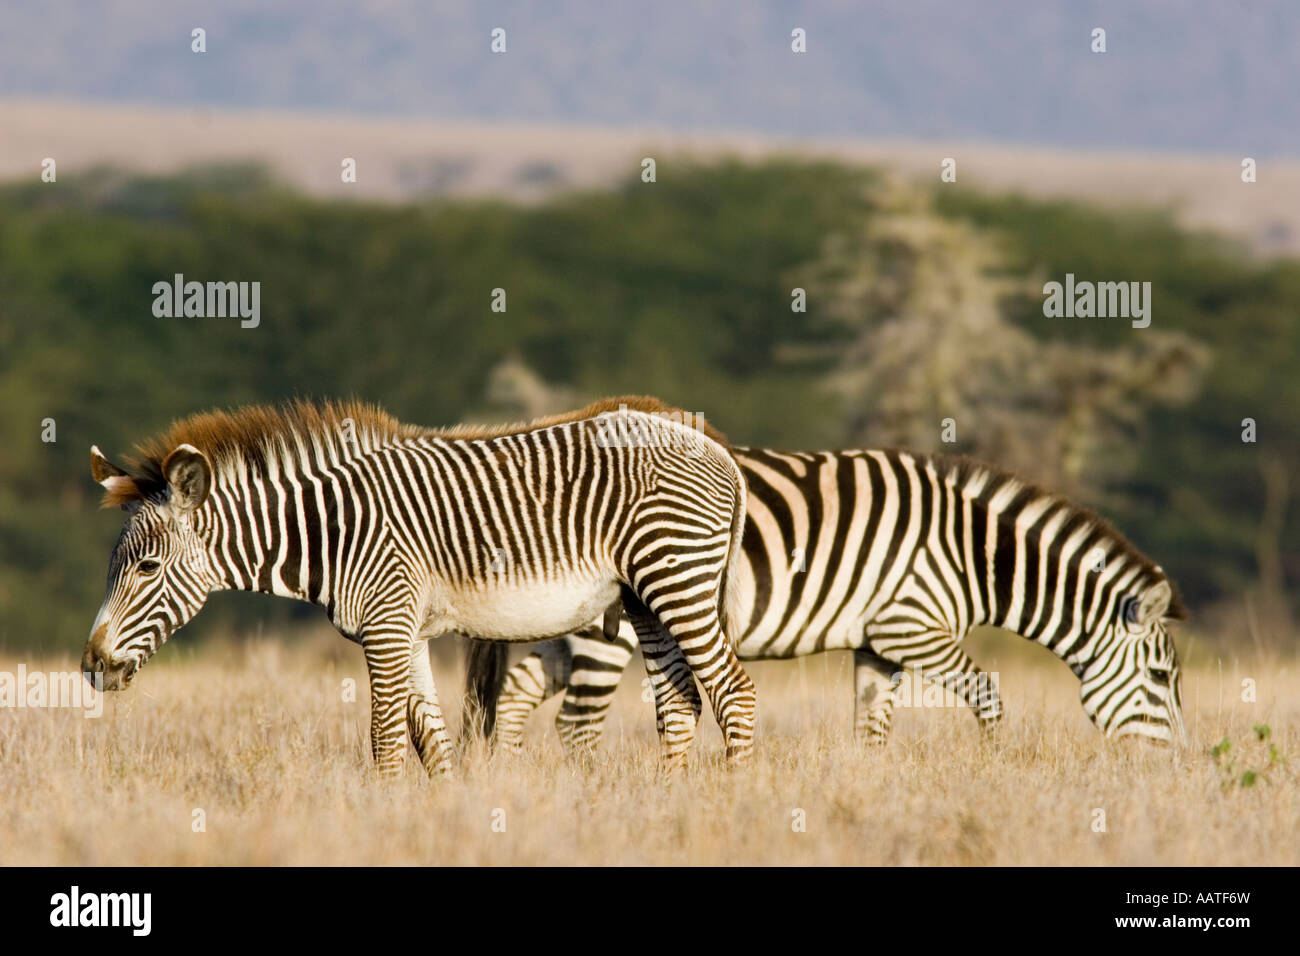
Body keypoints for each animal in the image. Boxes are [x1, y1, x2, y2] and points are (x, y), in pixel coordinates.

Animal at [81, 397, 757, 776]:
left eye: (146, 569)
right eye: (111, 568)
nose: (91, 666)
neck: (332, 530)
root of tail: (717, 450)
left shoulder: (385, 626)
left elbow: (384, 742)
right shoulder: (407, 632)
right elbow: (432, 741)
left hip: (677, 577)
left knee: (734, 691)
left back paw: (732, 797)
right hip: (645, 596)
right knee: (680, 703)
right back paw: (670, 800)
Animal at [469, 447, 1188, 754]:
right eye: (1160, 677)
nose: (1175, 767)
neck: (969, 552)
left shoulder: (879, 644)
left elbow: (871, 724)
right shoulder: (910, 625)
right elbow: (988, 694)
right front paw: (993, 769)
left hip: (565, 620)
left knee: (519, 694)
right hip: (610, 628)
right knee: (575, 724)